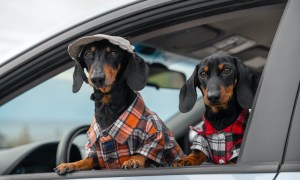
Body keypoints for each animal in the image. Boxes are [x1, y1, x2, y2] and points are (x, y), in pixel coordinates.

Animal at [54, 34, 185, 174]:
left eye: (114, 53)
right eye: (88, 54)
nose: (97, 79)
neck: (107, 106)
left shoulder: (156, 136)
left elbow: (144, 152)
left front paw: (133, 160)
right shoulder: (96, 153)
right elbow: (87, 160)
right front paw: (69, 164)